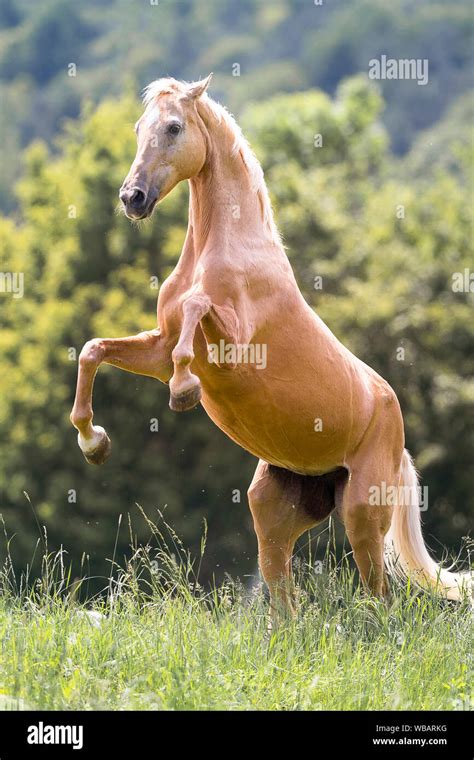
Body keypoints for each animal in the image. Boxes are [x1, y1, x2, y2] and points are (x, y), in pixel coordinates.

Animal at [70, 74, 470, 616]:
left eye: (174, 127)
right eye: (138, 127)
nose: (132, 197)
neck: (227, 249)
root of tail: (398, 432)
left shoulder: (234, 346)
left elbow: (196, 310)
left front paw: (184, 392)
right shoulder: (156, 350)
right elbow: (94, 349)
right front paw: (94, 443)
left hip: (363, 513)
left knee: (381, 597)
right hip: (275, 507)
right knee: (284, 598)